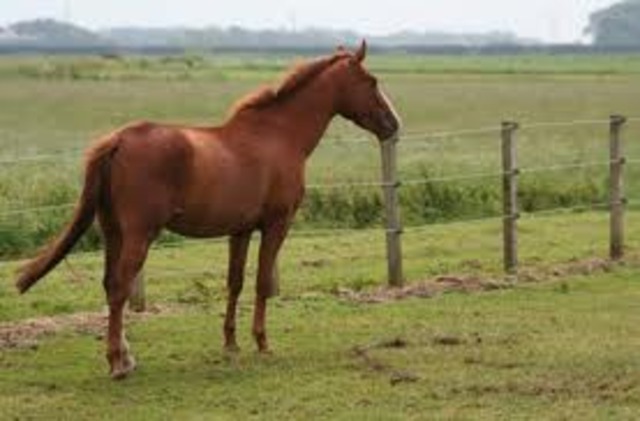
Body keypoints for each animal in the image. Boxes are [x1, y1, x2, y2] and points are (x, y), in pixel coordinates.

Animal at [15, 40, 401, 380]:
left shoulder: (240, 230)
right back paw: (117, 363)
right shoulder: (277, 224)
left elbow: (235, 282)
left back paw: (125, 355)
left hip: (114, 233)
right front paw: (262, 343)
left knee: (110, 284)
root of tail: (119, 140)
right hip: (139, 235)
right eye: (371, 81)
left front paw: (231, 342)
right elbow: (262, 282)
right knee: (120, 288)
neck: (277, 135)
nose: (393, 124)